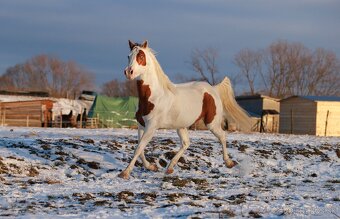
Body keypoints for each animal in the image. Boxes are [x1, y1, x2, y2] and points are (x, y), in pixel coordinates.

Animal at [117, 39, 252, 180]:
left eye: (141, 56)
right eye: (128, 56)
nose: (129, 72)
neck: (154, 96)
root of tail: (213, 89)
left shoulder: (151, 127)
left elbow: (138, 148)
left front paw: (125, 173)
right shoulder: (141, 125)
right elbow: (140, 148)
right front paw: (151, 167)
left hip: (211, 123)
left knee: (222, 136)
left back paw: (229, 162)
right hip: (181, 126)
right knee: (186, 143)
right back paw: (170, 168)